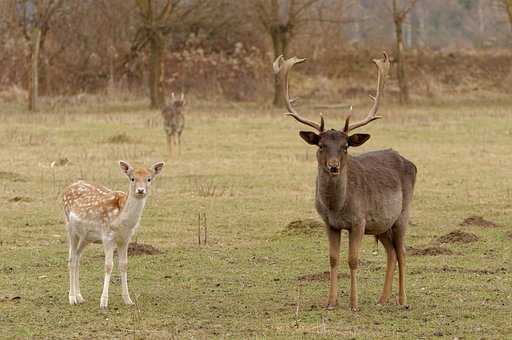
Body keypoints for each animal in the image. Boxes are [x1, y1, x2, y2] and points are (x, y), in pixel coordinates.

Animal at [62, 161, 164, 310]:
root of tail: (67, 188)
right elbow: (108, 265)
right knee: (71, 259)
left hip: (87, 237)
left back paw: (80, 297)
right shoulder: (107, 236)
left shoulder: (126, 239)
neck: (122, 222)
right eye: (132, 178)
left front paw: (128, 300)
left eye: (149, 179)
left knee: (77, 257)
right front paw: (103, 302)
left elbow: (124, 265)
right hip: (70, 228)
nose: (140, 190)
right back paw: (72, 298)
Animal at [276, 52, 416, 310]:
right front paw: (330, 302)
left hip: (403, 213)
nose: (333, 166)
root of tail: (409, 162)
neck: (337, 206)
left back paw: (402, 300)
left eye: (345, 146)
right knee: (391, 252)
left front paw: (353, 303)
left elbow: (353, 259)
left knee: (402, 251)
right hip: (382, 223)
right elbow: (333, 259)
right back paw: (382, 299)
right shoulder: (329, 223)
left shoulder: (359, 220)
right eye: (321, 145)